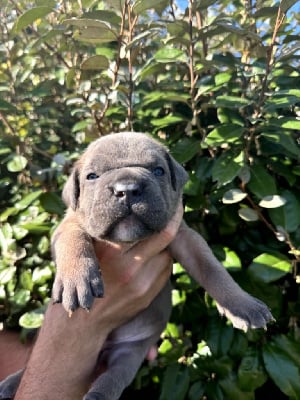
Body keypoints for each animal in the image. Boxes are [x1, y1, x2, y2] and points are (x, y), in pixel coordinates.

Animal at [0, 132, 274, 400]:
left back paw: (98, 395)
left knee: (117, 374)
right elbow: (73, 239)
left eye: (158, 171)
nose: (127, 190)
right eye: (92, 176)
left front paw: (242, 306)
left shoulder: (185, 238)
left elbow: (212, 269)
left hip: (131, 350)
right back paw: (12, 383)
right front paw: (77, 279)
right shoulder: (67, 224)